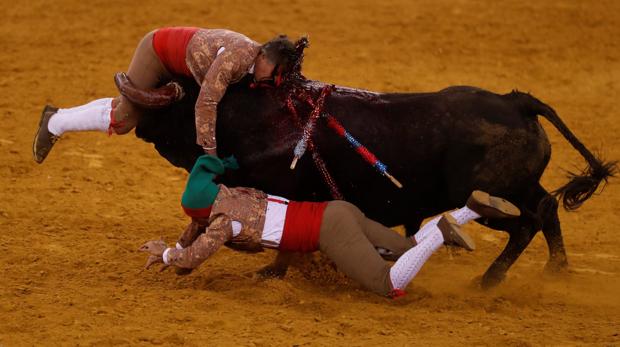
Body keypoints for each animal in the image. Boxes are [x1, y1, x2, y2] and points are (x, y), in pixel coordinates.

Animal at [136, 77, 616, 290]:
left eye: (170, 102)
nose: (135, 125)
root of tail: (516, 103)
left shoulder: (288, 193)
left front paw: (271, 272)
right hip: (523, 186)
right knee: (547, 209)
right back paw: (557, 270)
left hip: (491, 195)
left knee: (524, 223)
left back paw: (488, 280)